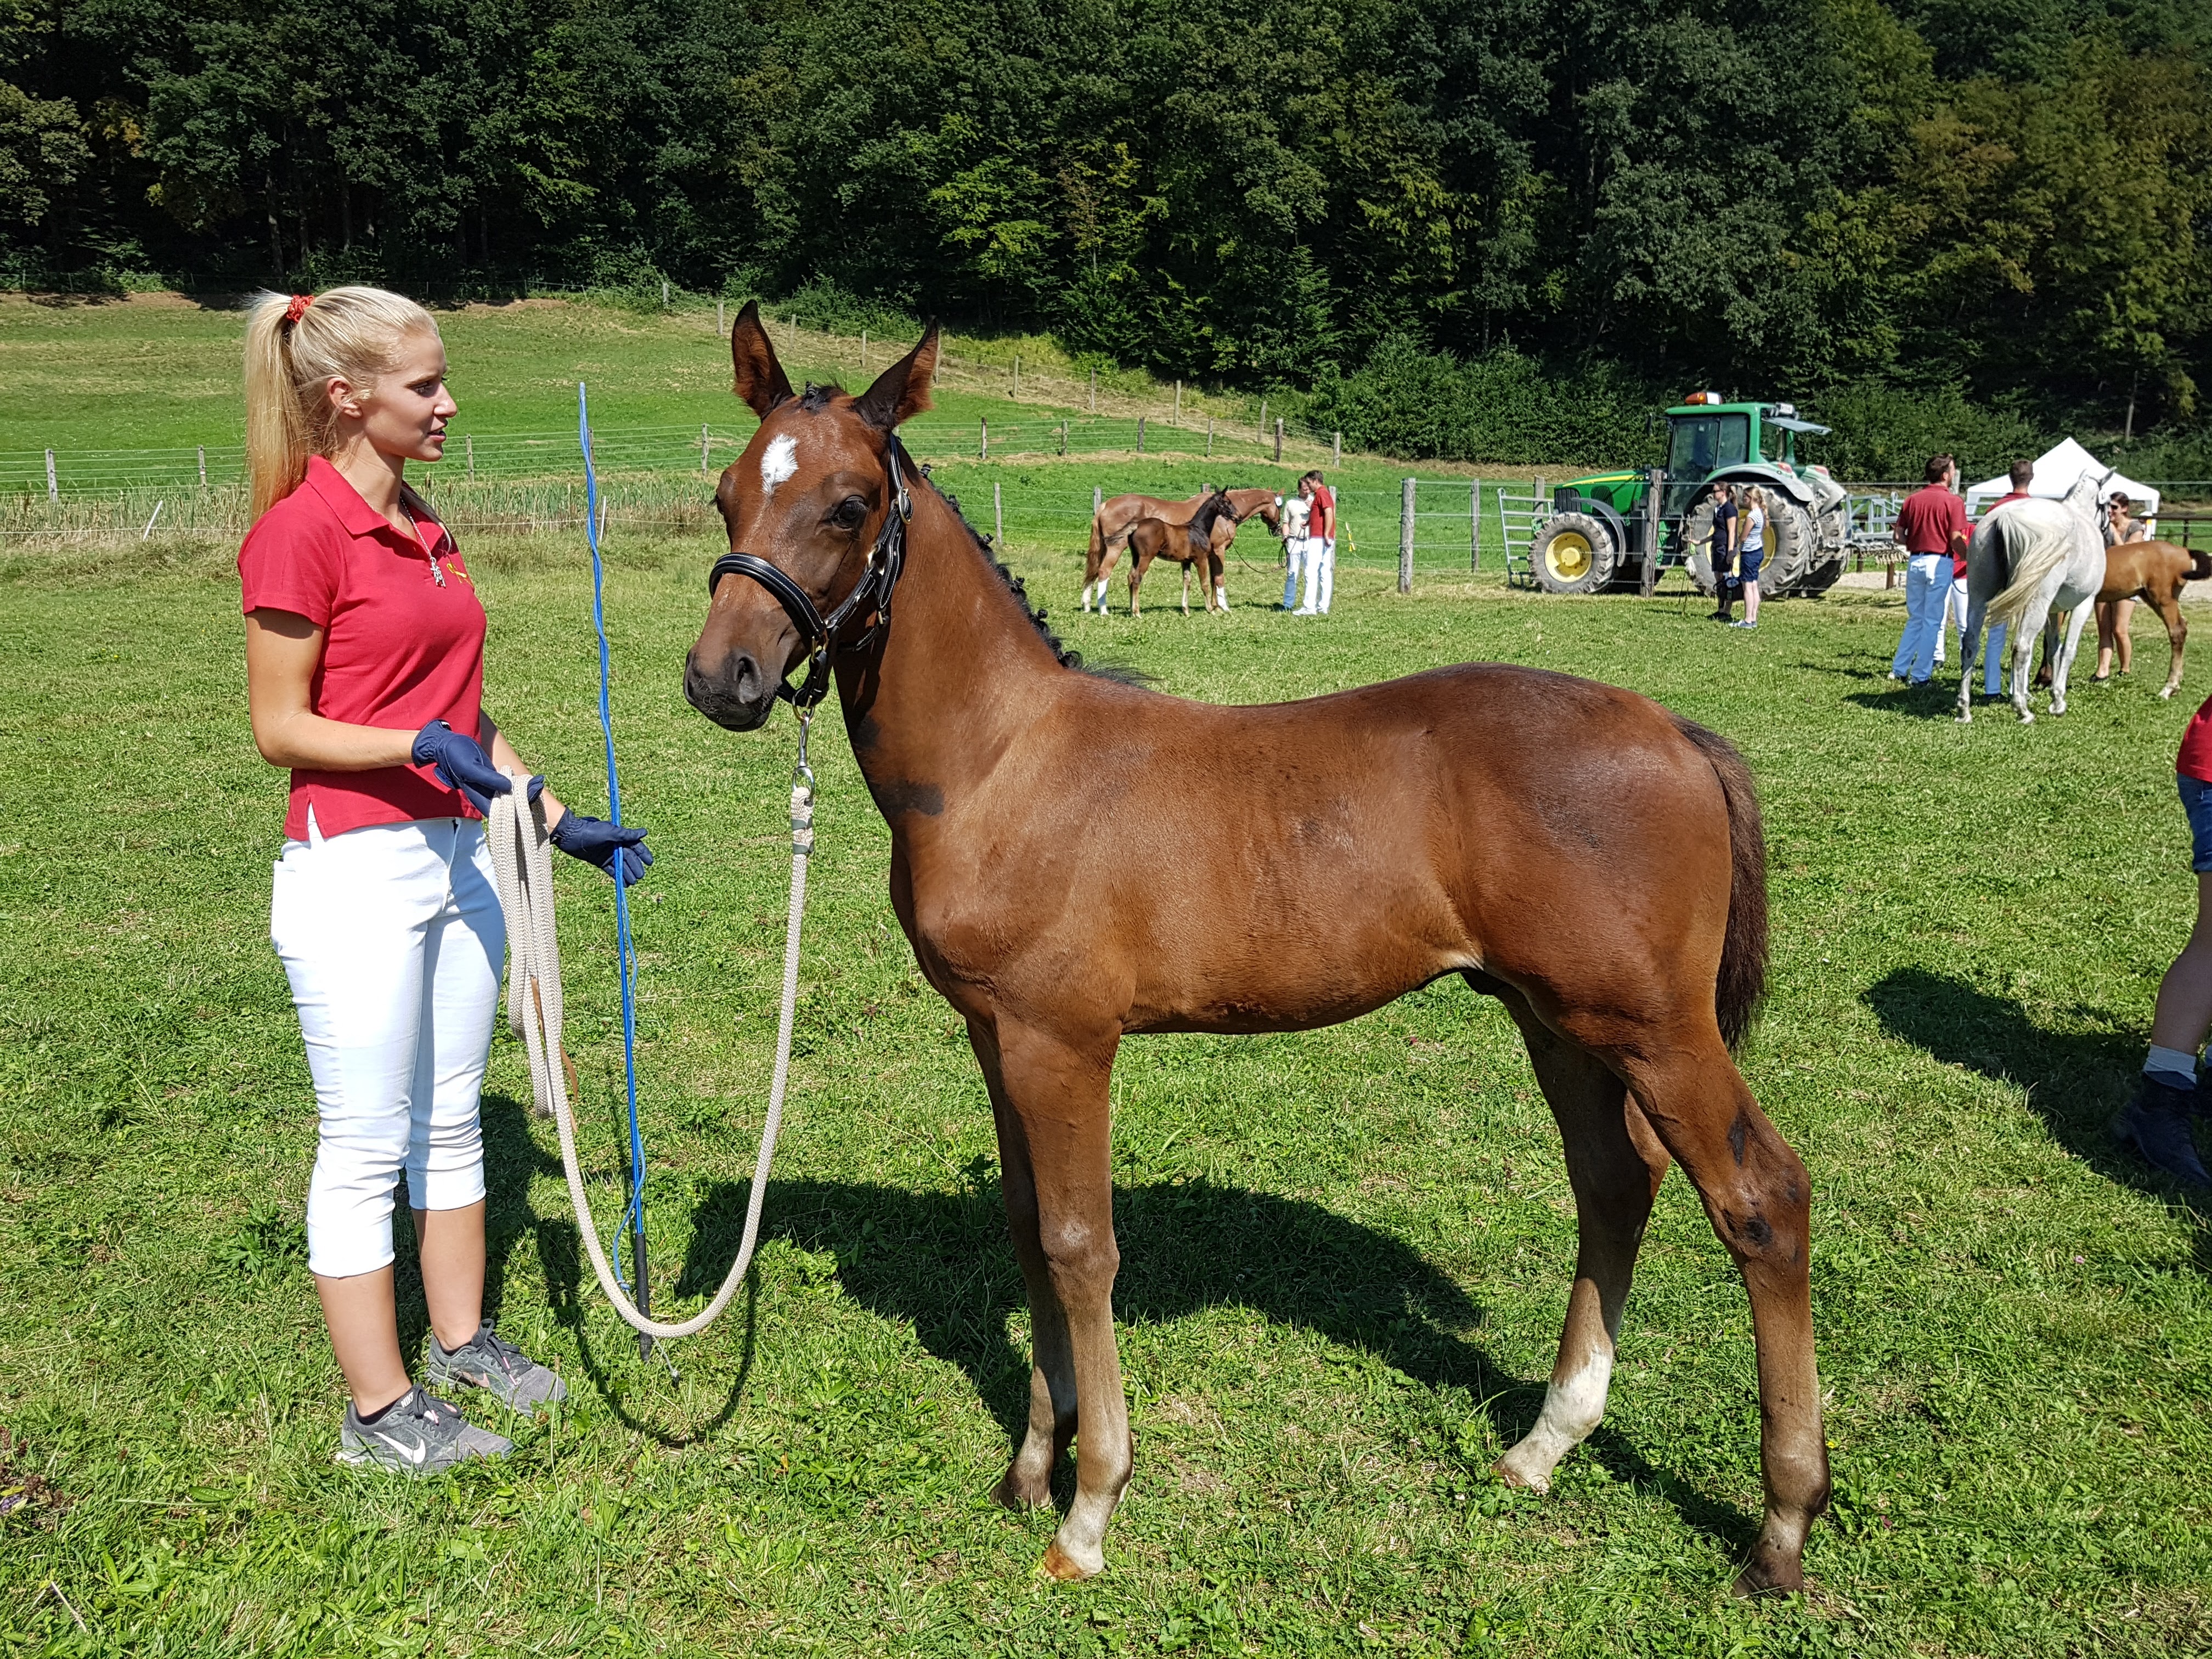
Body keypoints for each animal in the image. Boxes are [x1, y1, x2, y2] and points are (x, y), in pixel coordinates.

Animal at [1084, 491, 1283, 614]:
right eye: (1279, 507)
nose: (1278, 530)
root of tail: (1105, 505)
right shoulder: (1218, 551)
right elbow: (1218, 579)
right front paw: (1223, 607)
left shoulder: (1207, 555)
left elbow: (1210, 579)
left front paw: (1212, 606)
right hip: (1117, 548)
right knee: (1104, 572)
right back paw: (1104, 610)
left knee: (1094, 573)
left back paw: (1088, 605)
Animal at [1124, 498, 1248, 628]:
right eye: (1227, 502)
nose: (1239, 516)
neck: (1199, 529)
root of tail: (1137, 526)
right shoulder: (1201, 559)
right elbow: (1204, 584)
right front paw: (1210, 610)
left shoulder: (1186, 562)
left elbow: (1187, 582)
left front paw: (1186, 611)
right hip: (1146, 558)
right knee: (1137, 579)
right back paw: (1137, 612)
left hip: (1136, 557)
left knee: (1130, 577)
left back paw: (1131, 611)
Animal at [1955, 471, 2106, 725]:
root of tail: (2005, 517)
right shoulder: (2084, 604)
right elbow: (2068, 649)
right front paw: (2059, 702)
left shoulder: (2053, 611)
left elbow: (2053, 648)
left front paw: (2054, 696)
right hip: (2036, 602)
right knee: (2022, 646)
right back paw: (2022, 710)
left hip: (1979, 596)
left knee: (1970, 643)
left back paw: (1964, 710)